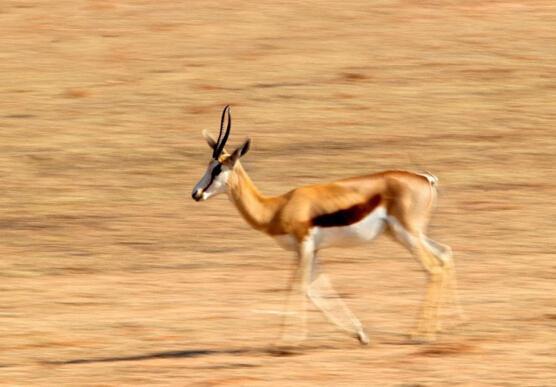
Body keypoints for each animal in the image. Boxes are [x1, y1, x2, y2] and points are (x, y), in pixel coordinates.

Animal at [193, 106, 462, 346]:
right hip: (405, 234)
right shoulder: (311, 250)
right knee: (445, 254)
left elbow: (299, 287)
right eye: (207, 166)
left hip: (408, 234)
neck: (276, 207)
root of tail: (426, 178)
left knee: (433, 268)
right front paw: (360, 334)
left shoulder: (304, 244)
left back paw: (421, 335)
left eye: (218, 168)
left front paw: (286, 341)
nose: (196, 193)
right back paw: (450, 325)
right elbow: (317, 290)